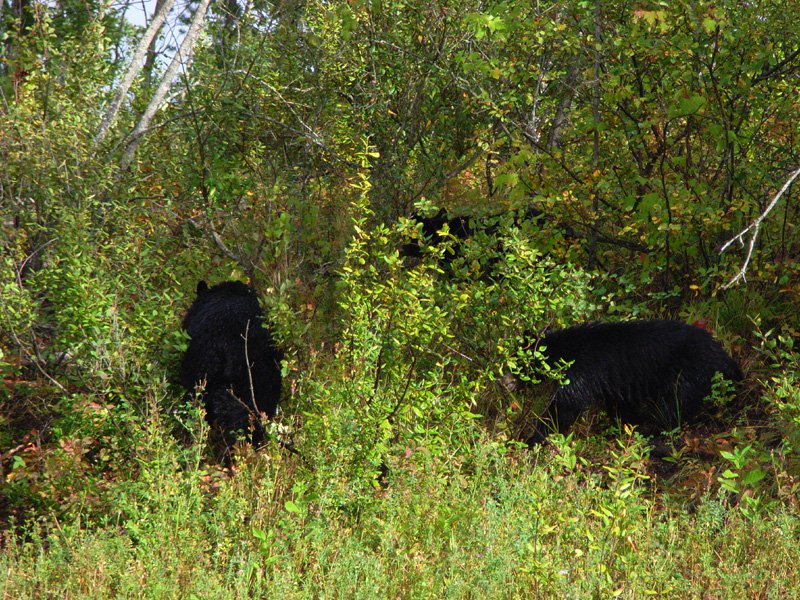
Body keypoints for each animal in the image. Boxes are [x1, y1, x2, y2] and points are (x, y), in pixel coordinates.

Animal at [520, 318, 740, 446]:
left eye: (519, 365)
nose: (511, 382)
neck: (563, 352)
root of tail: (724, 357)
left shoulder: (578, 372)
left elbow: (564, 407)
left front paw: (532, 439)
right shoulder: (613, 382)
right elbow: (621, 406)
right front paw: (631, 425)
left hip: (687, 372)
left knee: (675, 405)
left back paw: (655, 431)